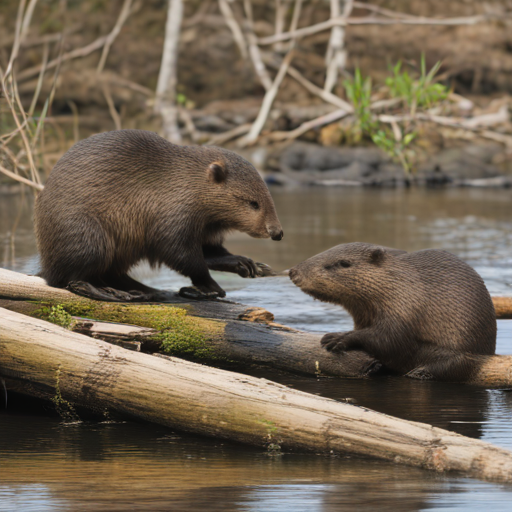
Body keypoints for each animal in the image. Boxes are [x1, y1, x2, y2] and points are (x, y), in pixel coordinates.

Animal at [35, 130, 284, 302]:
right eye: (253, 203)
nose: (277, 232)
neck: (184, 179)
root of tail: (45, 268)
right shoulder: (173, 215)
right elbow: (181, 254)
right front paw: (212, 287)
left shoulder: (205, 226)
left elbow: (209, 252)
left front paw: (246, 264)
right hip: (88, 237)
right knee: (72, 278)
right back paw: (116, 293)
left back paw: (146, 290)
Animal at [288, 243, 496, 380]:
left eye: (344, 263)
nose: (293, 272)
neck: (400, 281)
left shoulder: (405, 306)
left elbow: (390, 338)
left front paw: (336, 338)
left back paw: (419, 372)